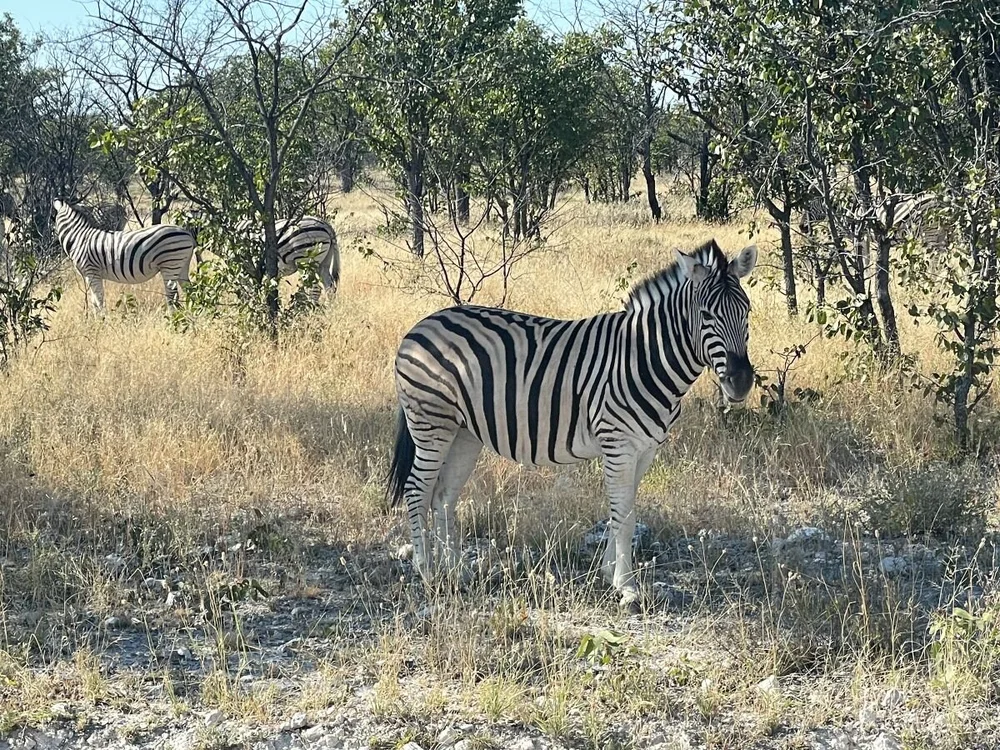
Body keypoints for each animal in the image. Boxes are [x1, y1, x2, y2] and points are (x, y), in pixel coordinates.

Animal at [52, 199, 197, 311]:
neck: (79, 237)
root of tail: (186, 233)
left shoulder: (91, 272)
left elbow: (98, 300)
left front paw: (101, 321)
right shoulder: (91, 274)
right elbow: (95, 300)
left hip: (170, 264)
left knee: (172, 296)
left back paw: (173, 319)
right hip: (181, 265)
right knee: (190, 291)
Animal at [387, 239, 757, 606]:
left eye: (747, 311)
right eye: (706, 315)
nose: (741, 382)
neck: (644, 357)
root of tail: (422, 324)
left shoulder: (646, 448)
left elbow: (623, 512)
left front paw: (610, 573)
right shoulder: (618, 444)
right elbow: (623, 515)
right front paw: (626, 587)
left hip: (464, 433)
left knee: (444, 496)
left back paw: (456, 573)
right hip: (432, 424)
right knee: (416, 490)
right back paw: (427, 572)